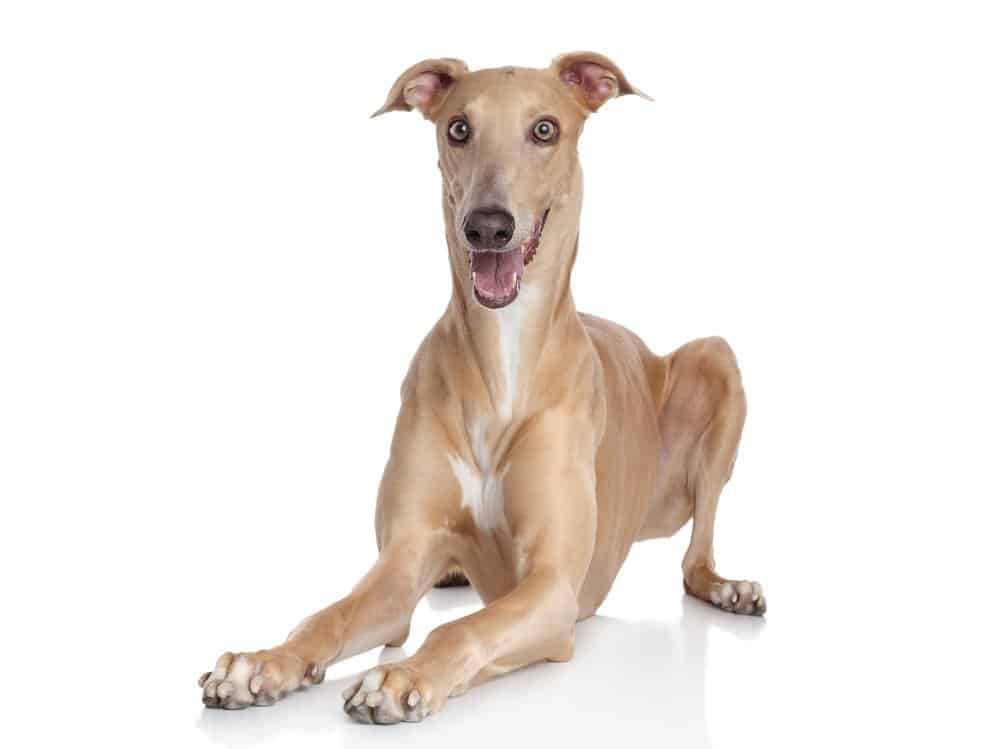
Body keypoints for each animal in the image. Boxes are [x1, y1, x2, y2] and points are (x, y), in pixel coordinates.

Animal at [201, 52, 764, 724]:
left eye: (545, 129)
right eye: (459, 129)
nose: (488, 227)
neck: (504, 358)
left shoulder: (552, 587)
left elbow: (462, 629)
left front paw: (401, 678)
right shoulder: (402, 561)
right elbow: (330, 616)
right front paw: (263, 663)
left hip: (716, 361)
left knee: (694, 559)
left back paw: (730, 589)